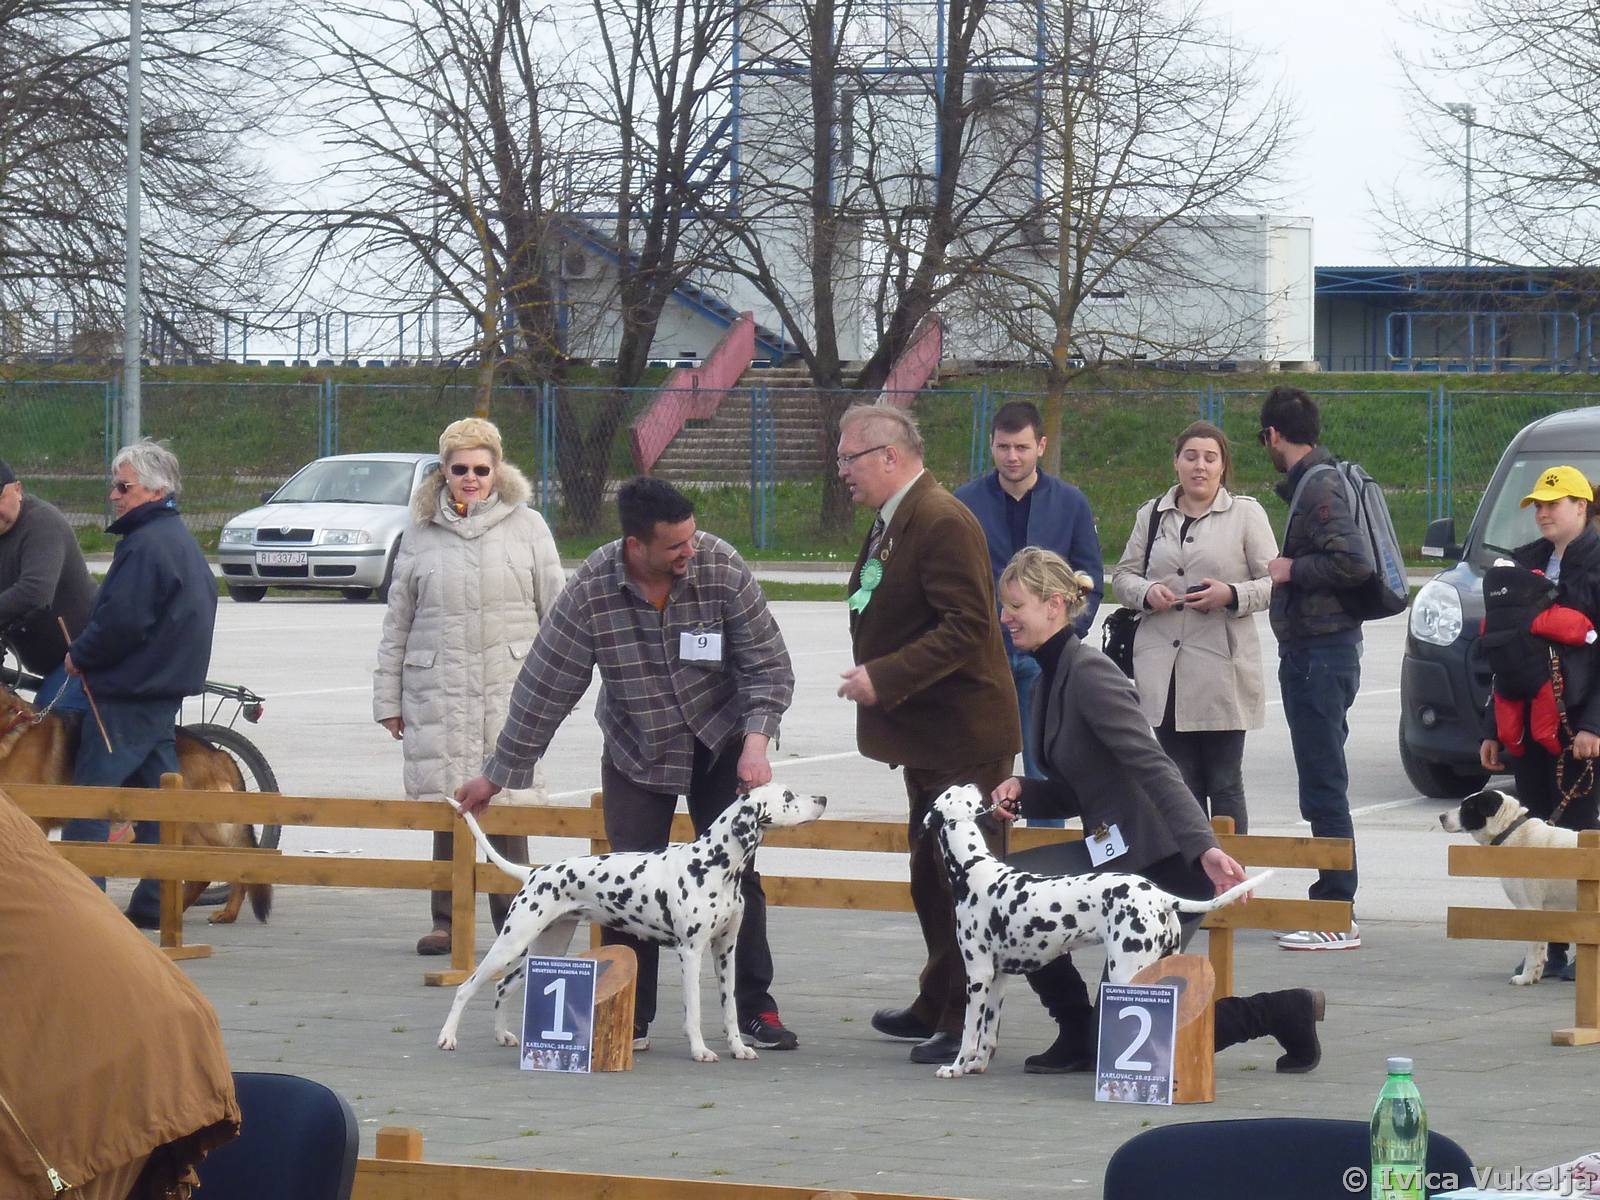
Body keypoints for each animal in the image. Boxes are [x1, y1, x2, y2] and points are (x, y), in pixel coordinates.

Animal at [436, 783, 827, 1062]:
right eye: (788, 796)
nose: (822, 798)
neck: (713, 864)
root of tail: (534, 873)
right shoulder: (691, 952)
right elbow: (695, 1011)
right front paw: (700, 1050)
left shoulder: (725, 950)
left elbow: (729, 1007)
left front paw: (738, 1047)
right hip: (511, 943)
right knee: (467, 987)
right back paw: (447, 1037)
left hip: (545, 948)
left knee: (503, 987)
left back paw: (502, 1035)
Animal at [924, 784, 1271, 1079]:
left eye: (953, 790)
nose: (975, 784)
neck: (974, 869)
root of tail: (1159, 895)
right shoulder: (999, 976)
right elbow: (987, 1033)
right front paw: (977, 1064)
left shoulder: (978, 974)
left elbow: (969, 1031)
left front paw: (955, 1067)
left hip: (1126, 975)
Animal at [1440, 787, 1578, 985]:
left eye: (1468, 806)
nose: (1441, 817)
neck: (1510, 831)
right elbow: (1540, 951)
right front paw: (1534, 976)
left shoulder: (1530, 909)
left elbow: (1532, 952)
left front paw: (1525, 978)